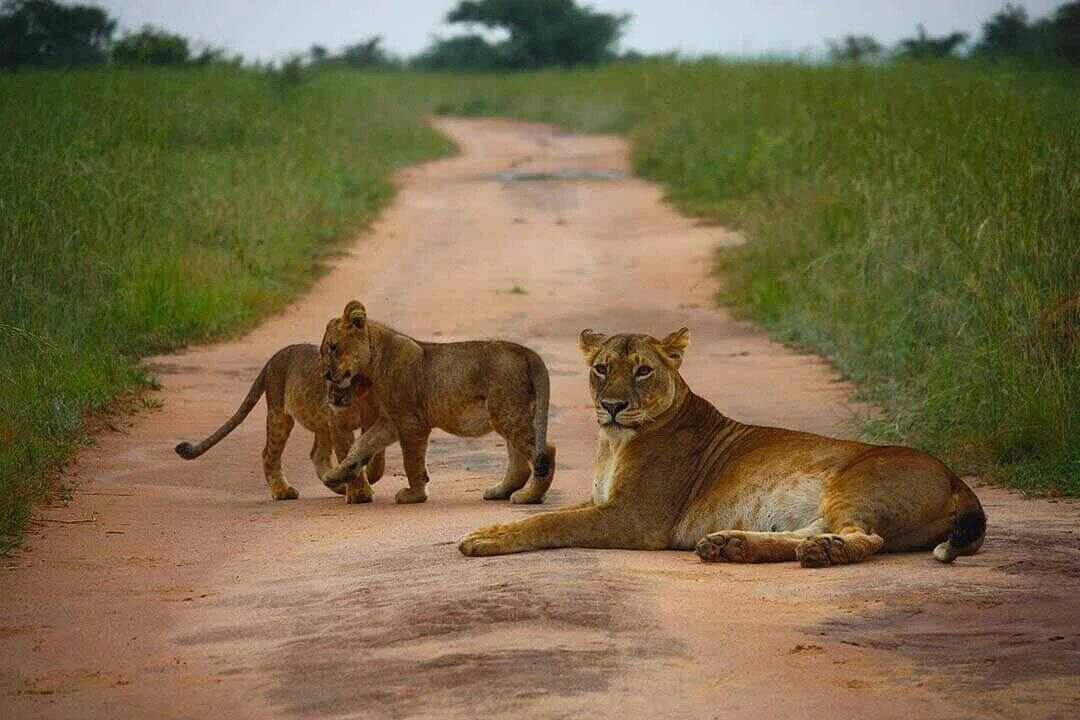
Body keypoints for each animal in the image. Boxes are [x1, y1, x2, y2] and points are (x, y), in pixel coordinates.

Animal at [315, 302, 552, 505]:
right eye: (323, 350)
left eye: (333, 347)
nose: (326, 374)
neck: (374, 360)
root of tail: (527, 352)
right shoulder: (391, 422)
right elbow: (361, 446)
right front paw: (334, 475)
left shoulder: (411, 423)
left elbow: (411, 462)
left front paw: (414, 495)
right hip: (508, 414)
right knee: (520, 464)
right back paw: (500, 492)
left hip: (506, 413)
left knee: (546, 451)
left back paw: (529, 497)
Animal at [460, 328, 984, 569]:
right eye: (602, 368)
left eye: (643, 370)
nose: (611, 405)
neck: (613, 442)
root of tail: (956, 478)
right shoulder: (606, 502)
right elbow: (548, 514)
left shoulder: (635, 518)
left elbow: (552, 522)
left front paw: (486, 538)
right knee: (812, 530)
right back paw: (731, 545)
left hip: (855, 482)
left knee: (865, 538)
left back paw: (821, 553)